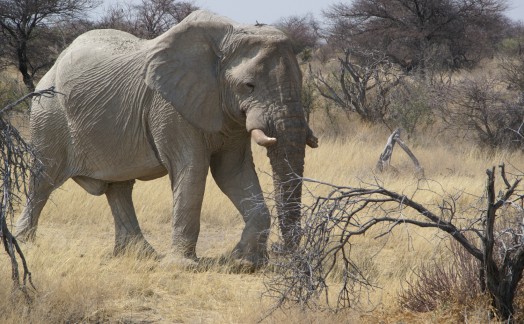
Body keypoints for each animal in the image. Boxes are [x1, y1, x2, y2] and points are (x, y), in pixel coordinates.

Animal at [16, 10, 318, 268]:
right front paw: (183, 266)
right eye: (249, 86)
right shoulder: (170, 107)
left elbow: (232, 172)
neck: (228, 35)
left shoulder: (226, 114)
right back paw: (25, 244)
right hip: (48, 115)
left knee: (119, 187)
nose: (285, 253)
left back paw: (141, 255)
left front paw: (244, 263)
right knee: (44, 180)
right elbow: (192, 169)